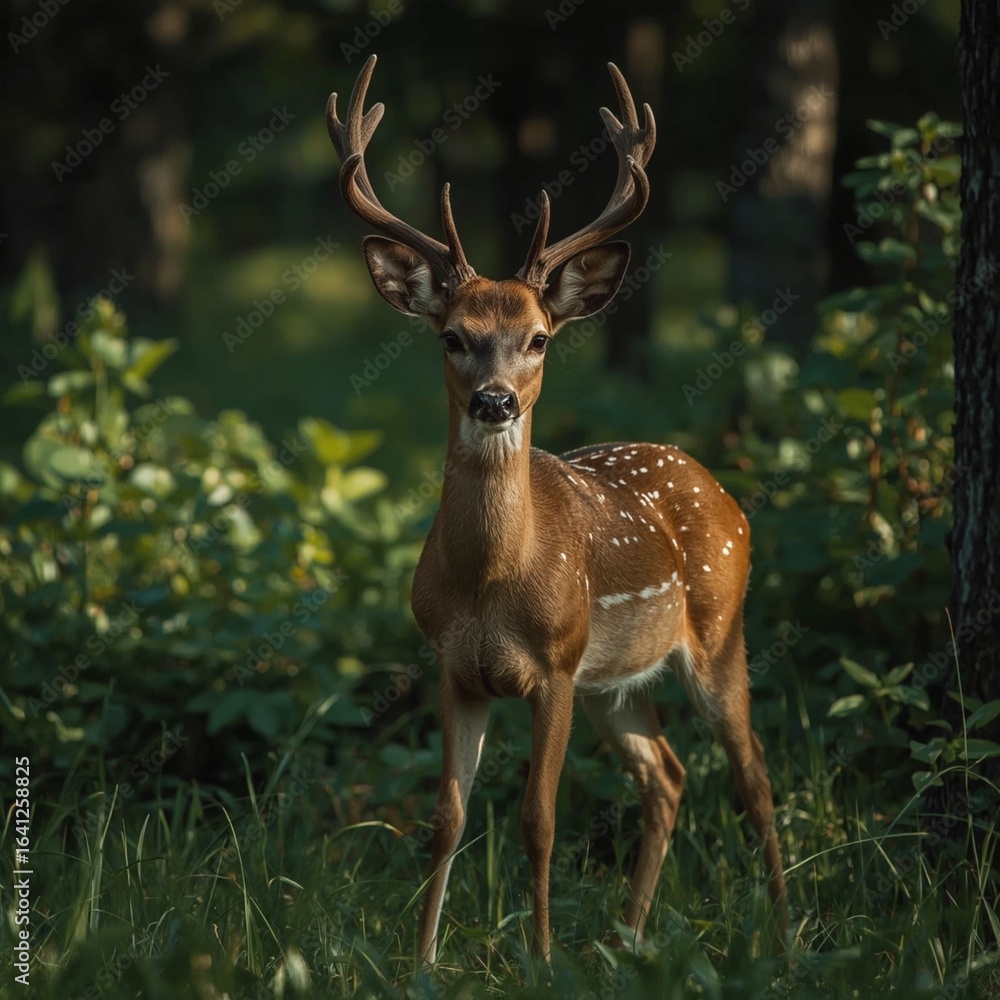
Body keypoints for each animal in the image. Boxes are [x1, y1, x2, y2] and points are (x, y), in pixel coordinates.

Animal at [326, 55, 786, 964]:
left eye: (538, 337)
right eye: (452, 336)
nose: (496, 401)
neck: (491, 583)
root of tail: (713, 481)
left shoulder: (557, 667)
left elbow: (537, 818)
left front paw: (539, 958)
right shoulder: (453, 666)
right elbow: (447, 818)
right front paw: (422, 960)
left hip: (717, 629)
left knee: (753, 778)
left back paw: (788, 938)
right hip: (618, 680)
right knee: (667, 774)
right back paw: (630, 936)